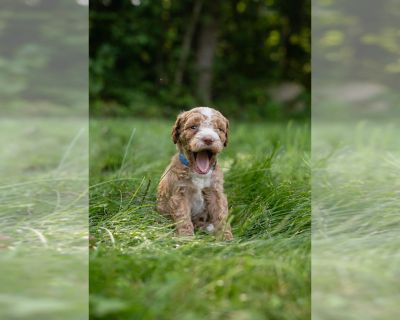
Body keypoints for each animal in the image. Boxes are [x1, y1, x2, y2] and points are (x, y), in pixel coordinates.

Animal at [155, 107, 233, 240]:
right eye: (193, 127)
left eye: (219, 129)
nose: (208, 139)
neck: (199, 174)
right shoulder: (180, 192)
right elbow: (183, 217)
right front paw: (186, 238)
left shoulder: (215, 191)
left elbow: (221, 215)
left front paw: (226, 238)